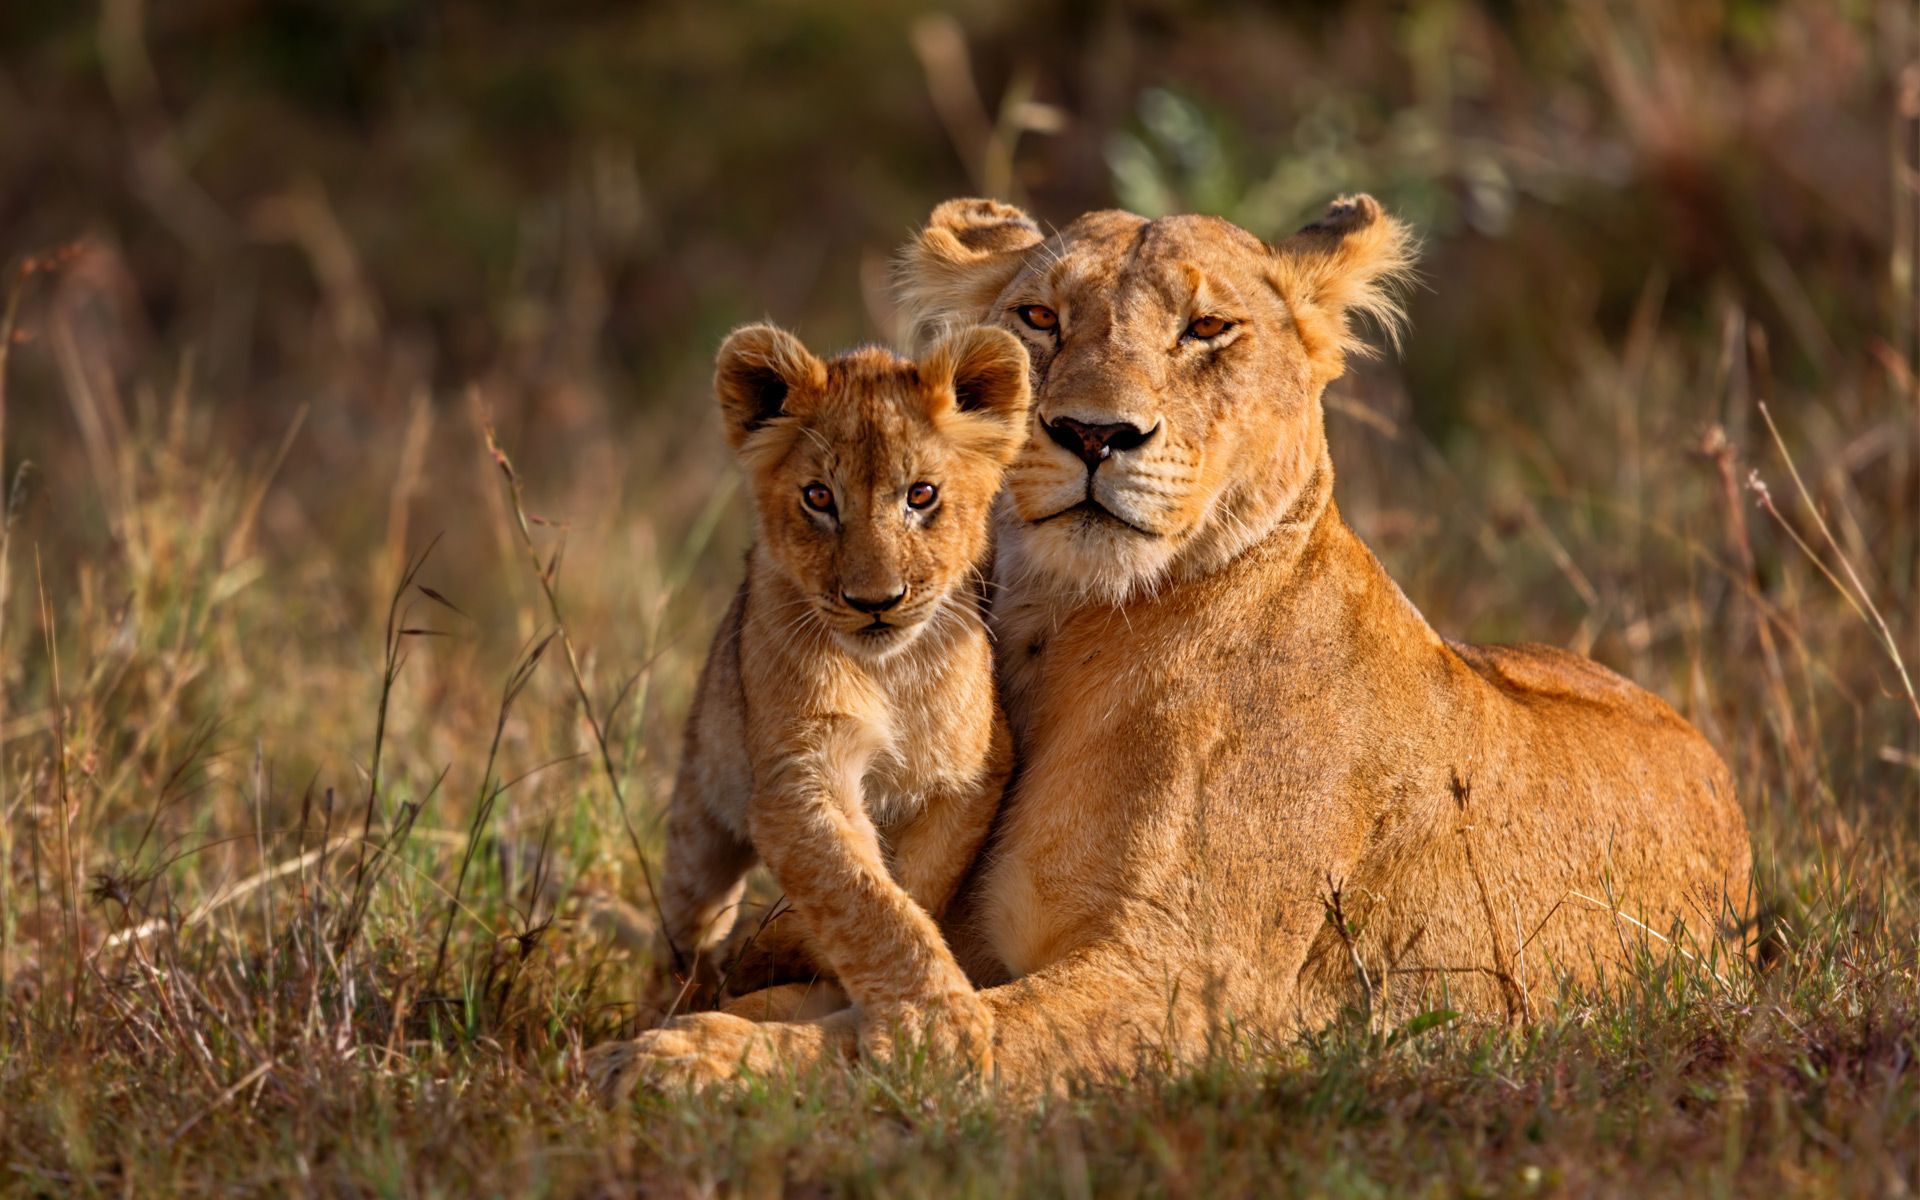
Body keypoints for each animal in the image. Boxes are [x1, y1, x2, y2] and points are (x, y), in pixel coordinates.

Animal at [638, 322, 1031, 1069]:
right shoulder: (798, 779)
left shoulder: (970, 774)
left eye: (921, 495)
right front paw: (935, 1025)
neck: (889, 673)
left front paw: (785, 949)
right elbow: (862, 897)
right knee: (684, 922)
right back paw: (671, 999)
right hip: (701, 813)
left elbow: (912, 886)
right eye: (819, 498)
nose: (875, 602)